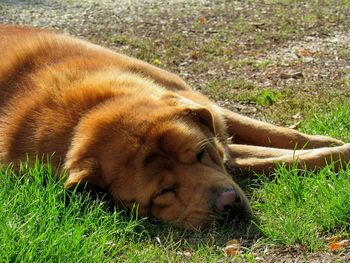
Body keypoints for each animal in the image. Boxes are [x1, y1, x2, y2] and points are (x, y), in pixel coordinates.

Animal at [0, 25, 350, 231]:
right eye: (164, 192)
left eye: (200, 155)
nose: (227, 203)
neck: (88, 111)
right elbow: (286, 158)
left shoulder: (208, 113)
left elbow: (284, 136)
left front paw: (330, 140)